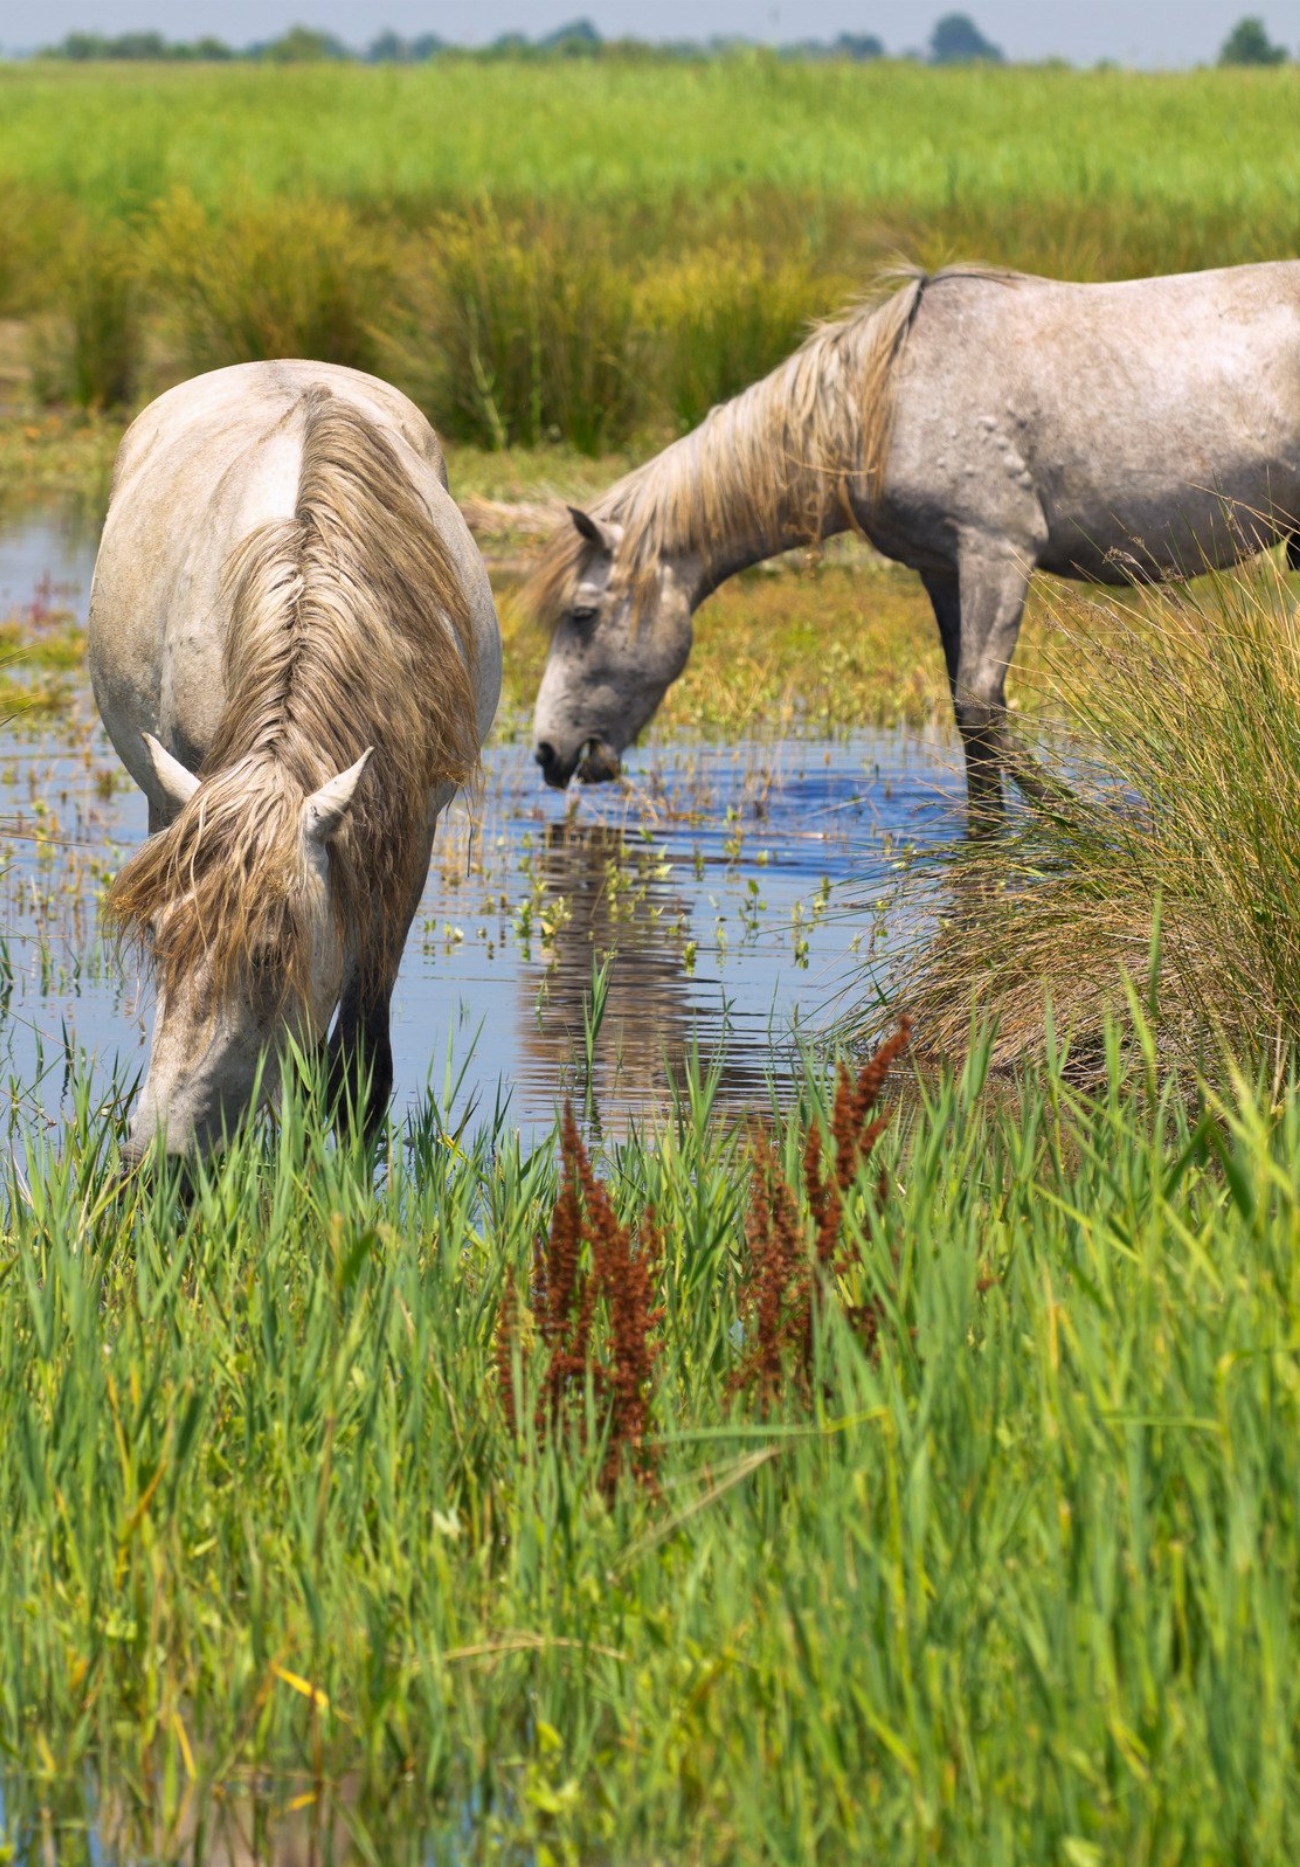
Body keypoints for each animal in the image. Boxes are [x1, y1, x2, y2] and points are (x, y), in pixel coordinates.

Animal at [528, 260, 1300, 810]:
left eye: (583, 614)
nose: (544, 753)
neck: (885, 401)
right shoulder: (943, 568)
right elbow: (970, 725)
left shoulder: (996, 550)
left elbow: (983, 706)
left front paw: (1088, 827)